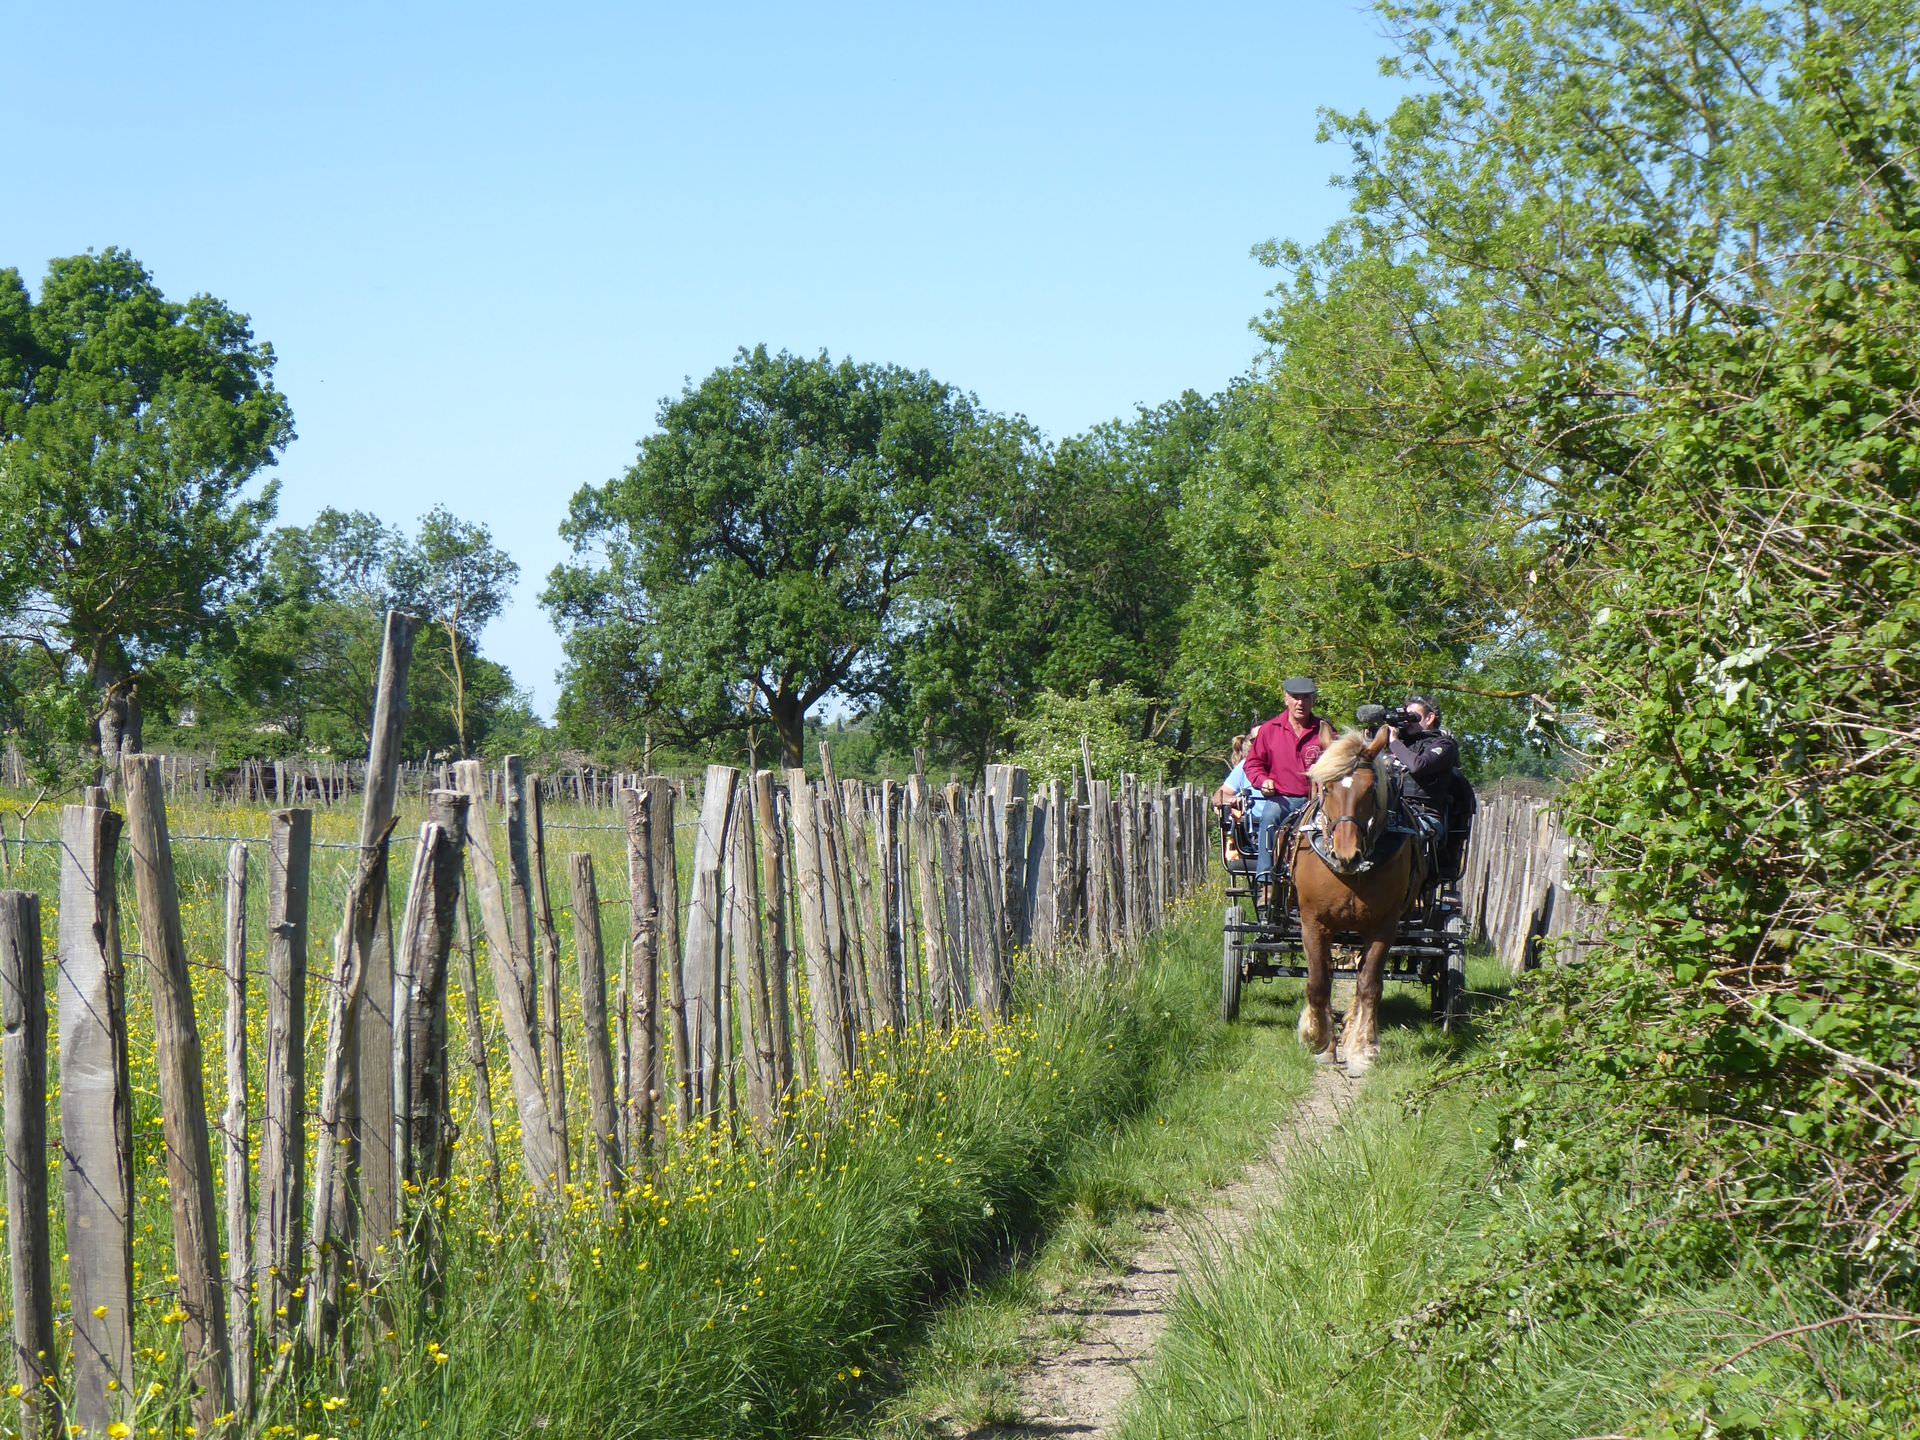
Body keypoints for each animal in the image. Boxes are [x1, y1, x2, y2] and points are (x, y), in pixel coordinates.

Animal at [1290, 725, 1428, 1075]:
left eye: (1370, 789)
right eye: (1327, 788)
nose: (1347, 855)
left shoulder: (1383, 927)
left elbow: (1368, 985)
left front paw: (1363, 1047)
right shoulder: (1313, 923)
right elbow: (1318, 981)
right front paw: (1318, 1039)